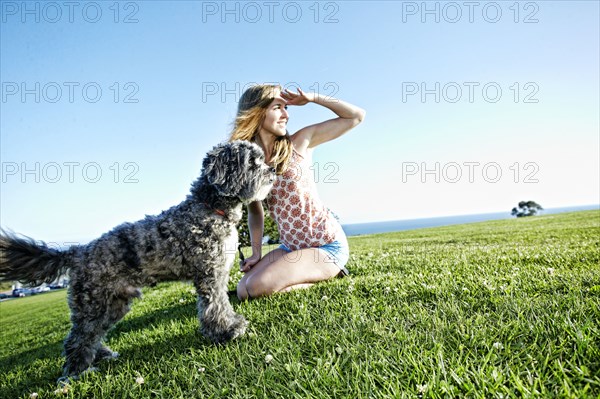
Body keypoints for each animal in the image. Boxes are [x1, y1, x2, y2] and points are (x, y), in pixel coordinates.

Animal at [0, 141, 276, 382]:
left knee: (92, 334)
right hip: (93, 304)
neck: (209, 207)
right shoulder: (211, 275)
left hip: (114, 304)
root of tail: (78, 251)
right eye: (251, 162)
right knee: (78, 338)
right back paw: (76, 373)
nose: (273, 169)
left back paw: (100, 356)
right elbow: (216, 306)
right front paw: (229, 330)